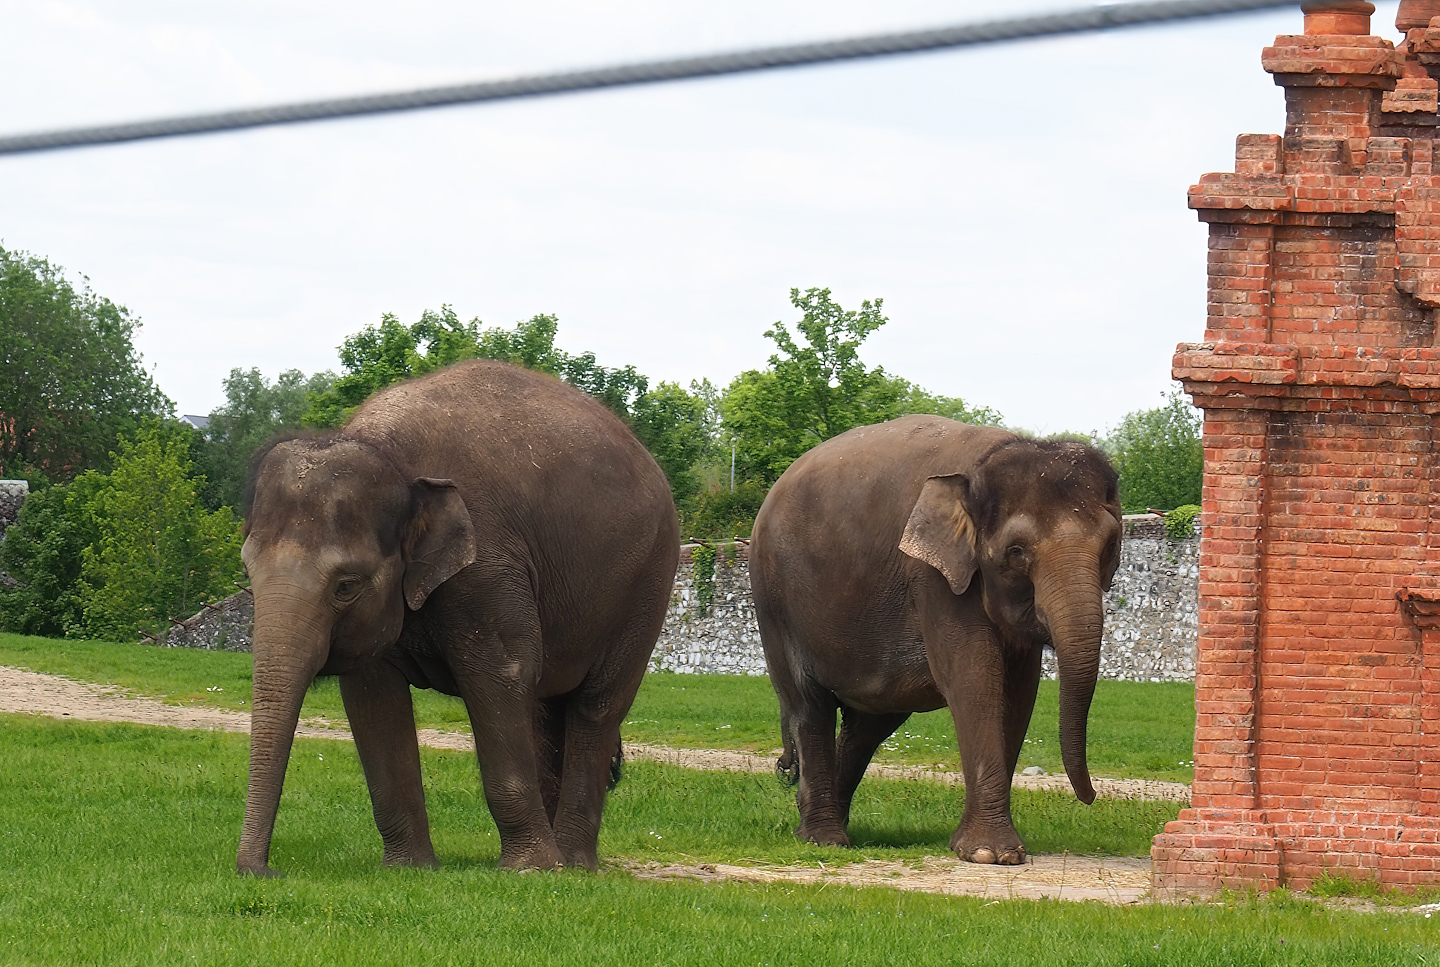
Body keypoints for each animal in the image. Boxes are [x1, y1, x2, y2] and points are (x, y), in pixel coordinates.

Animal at [236, 359, 679, 876]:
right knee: (546, 709)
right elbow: (372, 698)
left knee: (596, 705)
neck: (393, 456)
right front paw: (409, 869)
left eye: (346, 585)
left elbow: (502, 676)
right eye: (248, 572)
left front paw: (529, 872)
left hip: (648, 582)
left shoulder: (488, 565)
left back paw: (572, 865)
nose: (266, 870)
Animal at [750, 415, 1120, 865]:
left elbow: (1018, 689)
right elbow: (974, 676)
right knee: (810, 708)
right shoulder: (933, 578)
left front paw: (991, 851)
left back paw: (832, 825)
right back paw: (823, 839)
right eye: (1016, 552)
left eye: (1110, 545)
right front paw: (988, 854)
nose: (1091, 797)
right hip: (774, 604)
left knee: (869, 725)